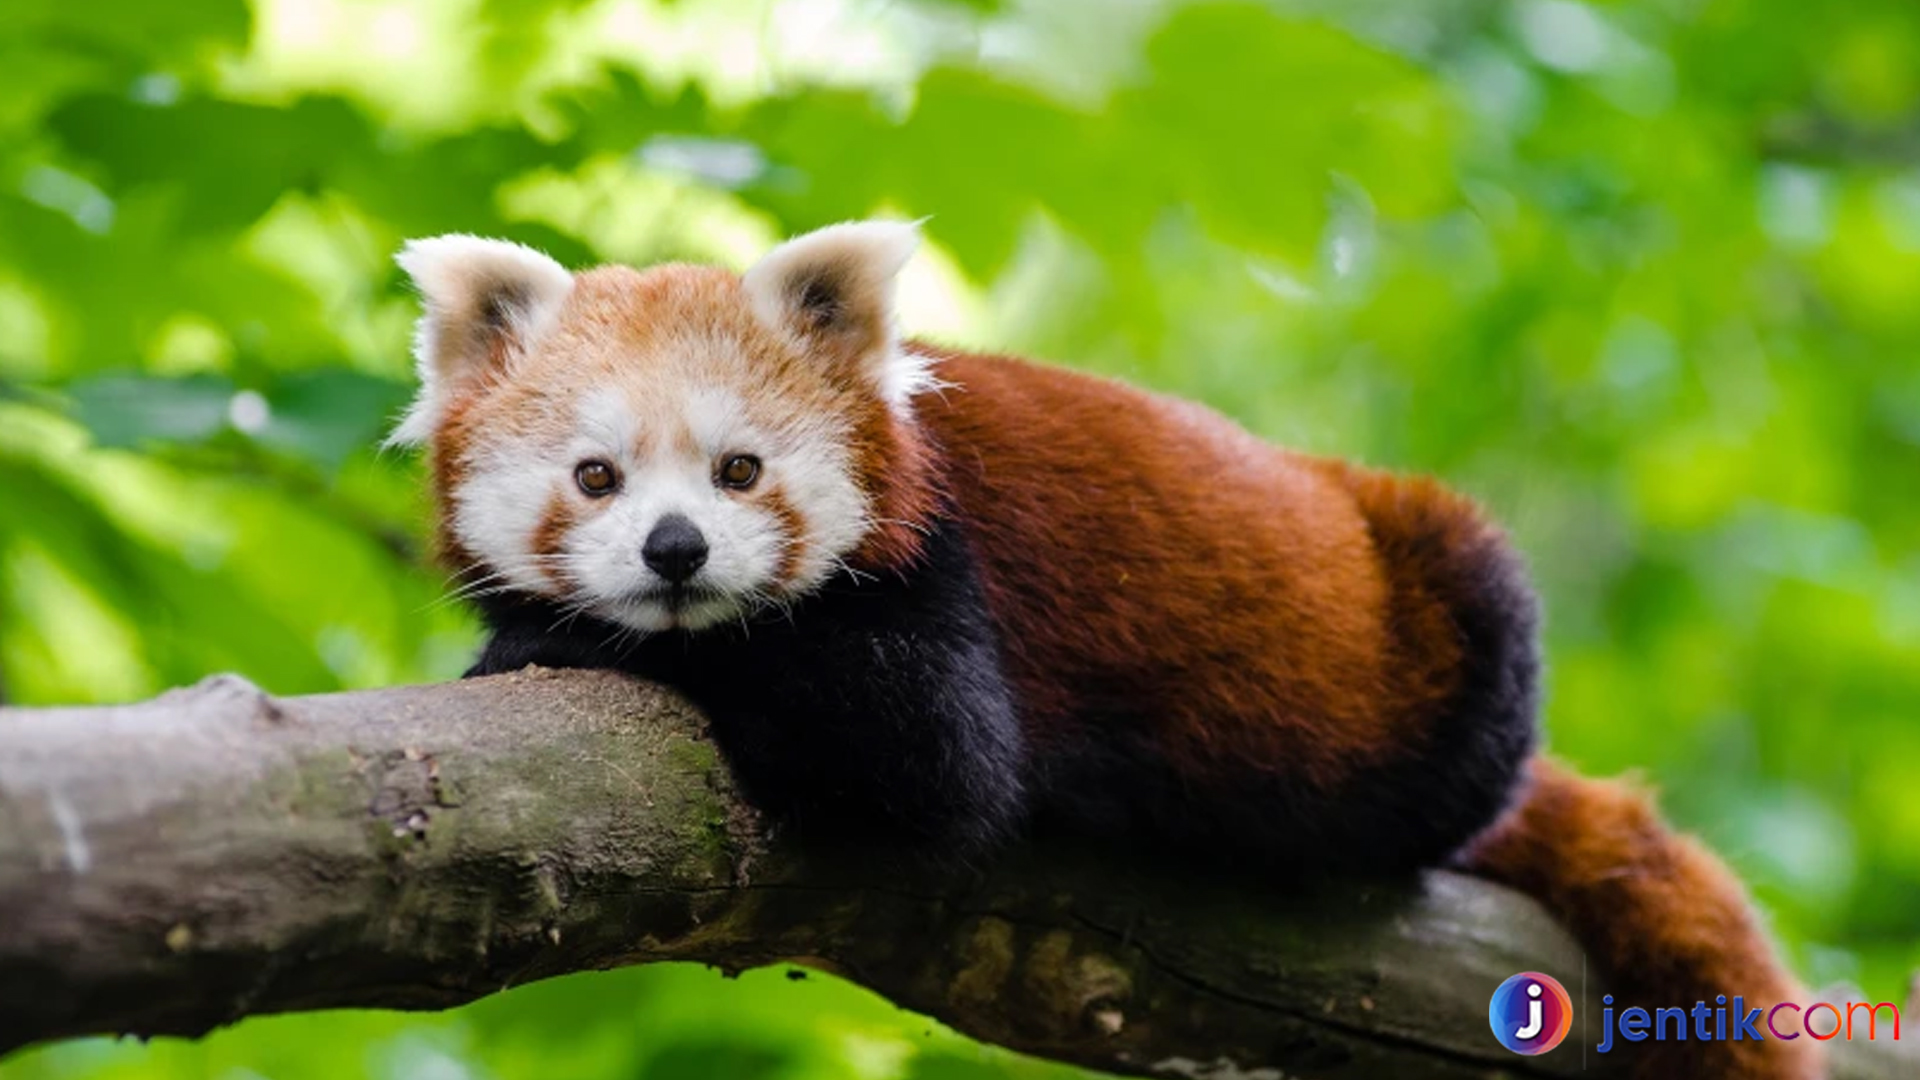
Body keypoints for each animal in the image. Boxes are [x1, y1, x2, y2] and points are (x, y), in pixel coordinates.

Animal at [397, 220, 1820, 1076]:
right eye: (596, 476)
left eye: (739, 470)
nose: (677, 552)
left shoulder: (943, 585)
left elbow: (924, 756)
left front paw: (545, 639)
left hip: (1451, 611)